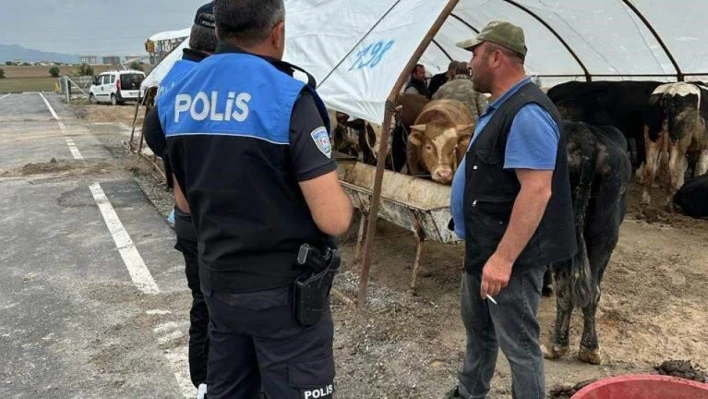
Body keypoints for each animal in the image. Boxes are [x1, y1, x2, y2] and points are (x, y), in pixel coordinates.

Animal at [544, 121, 632, 366]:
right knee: (591, 291)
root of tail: (584, 135)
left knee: (566, 289)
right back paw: (589, 349)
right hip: (605, 233)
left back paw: (558, 346)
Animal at [640, 80, 708, 208]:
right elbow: (700, 168)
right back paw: (670, 204)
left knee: (651, 167)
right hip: (679, 141)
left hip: (652, 138)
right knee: (673, 167)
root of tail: (669, 91)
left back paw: (645, 200)